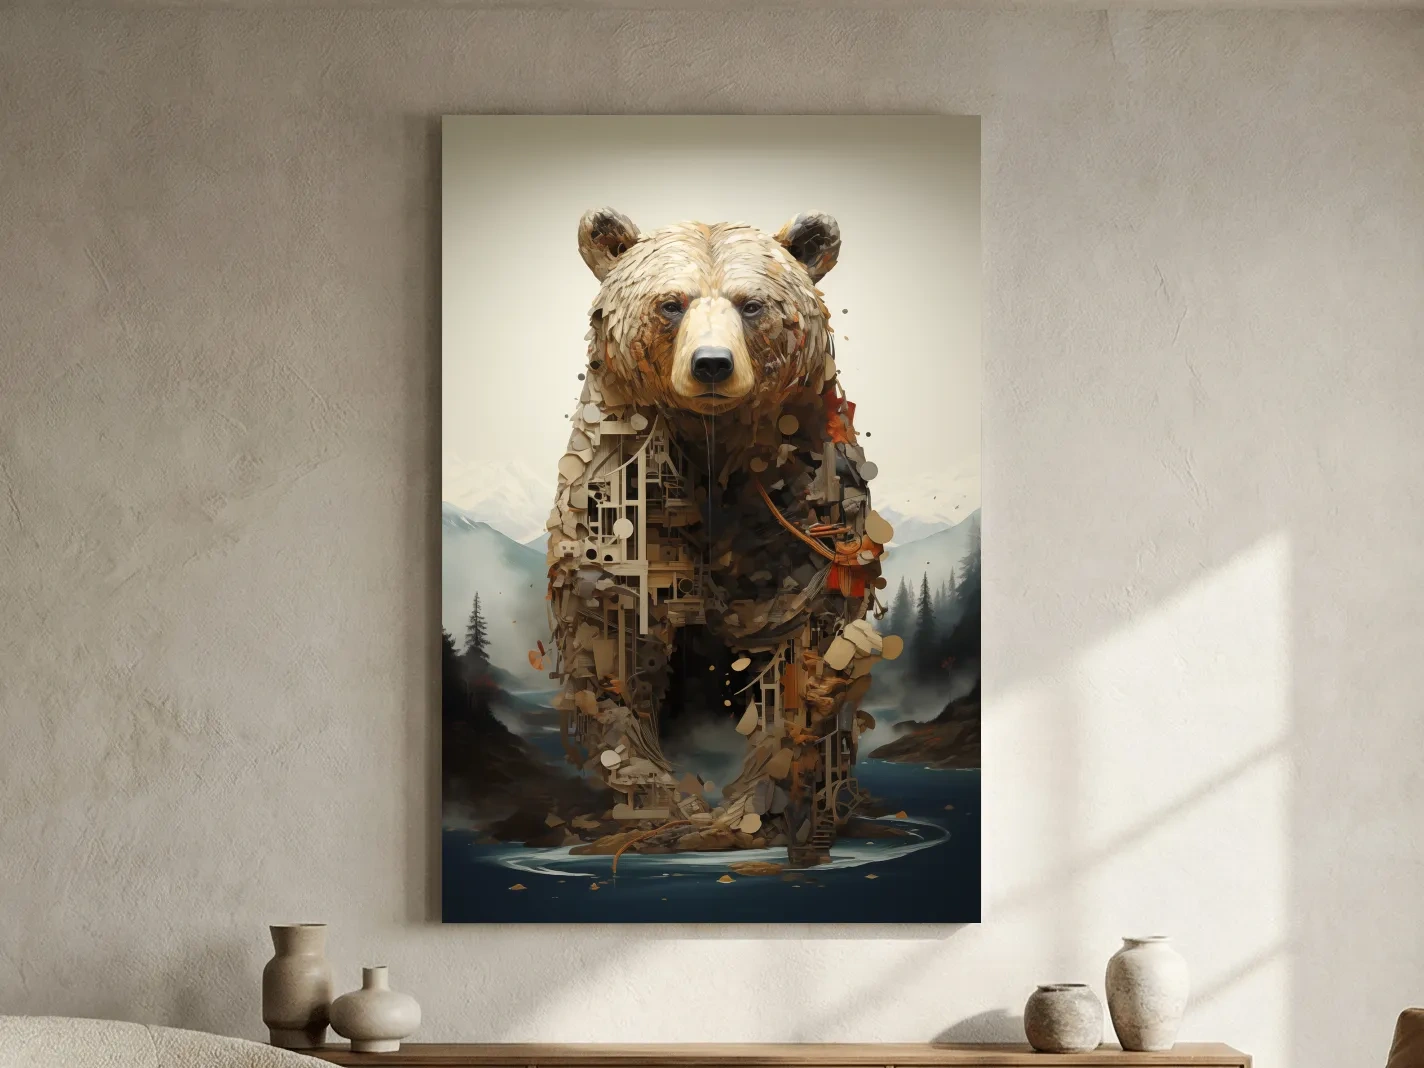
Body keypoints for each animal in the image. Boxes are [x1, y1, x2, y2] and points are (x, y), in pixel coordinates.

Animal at [539, 208, 903, 867]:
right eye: (671, 303)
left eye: (750, 304)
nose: (712, 363)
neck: (712, 447)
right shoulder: (620, 513)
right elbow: (614, 656)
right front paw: (666, 810)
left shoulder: (799, 514)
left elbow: (796, 660)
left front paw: (749, 812)